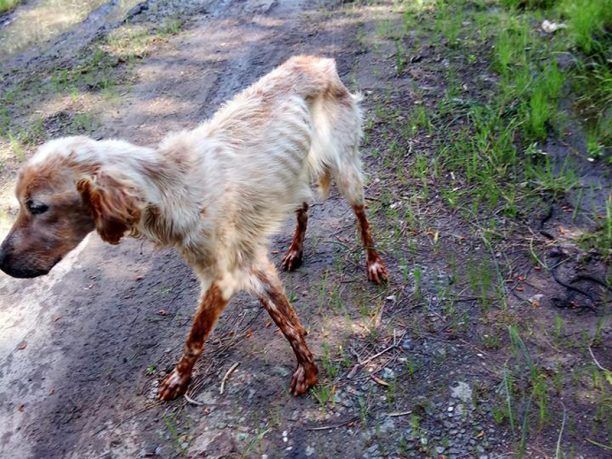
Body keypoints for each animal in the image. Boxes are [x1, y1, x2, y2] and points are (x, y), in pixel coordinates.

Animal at [0, 56, 388, 398]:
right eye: (20, 204)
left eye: (37, 207)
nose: (1, 261)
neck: (171, 187)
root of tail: (319, 61)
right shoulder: (249, 264)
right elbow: (285, 319)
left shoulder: (225, 275)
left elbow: (198, 337)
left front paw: (180, 379)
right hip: (295, 177)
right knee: (304, 208)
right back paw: (295, 249)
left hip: (346, 172)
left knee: (362, 219)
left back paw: (374, 264)